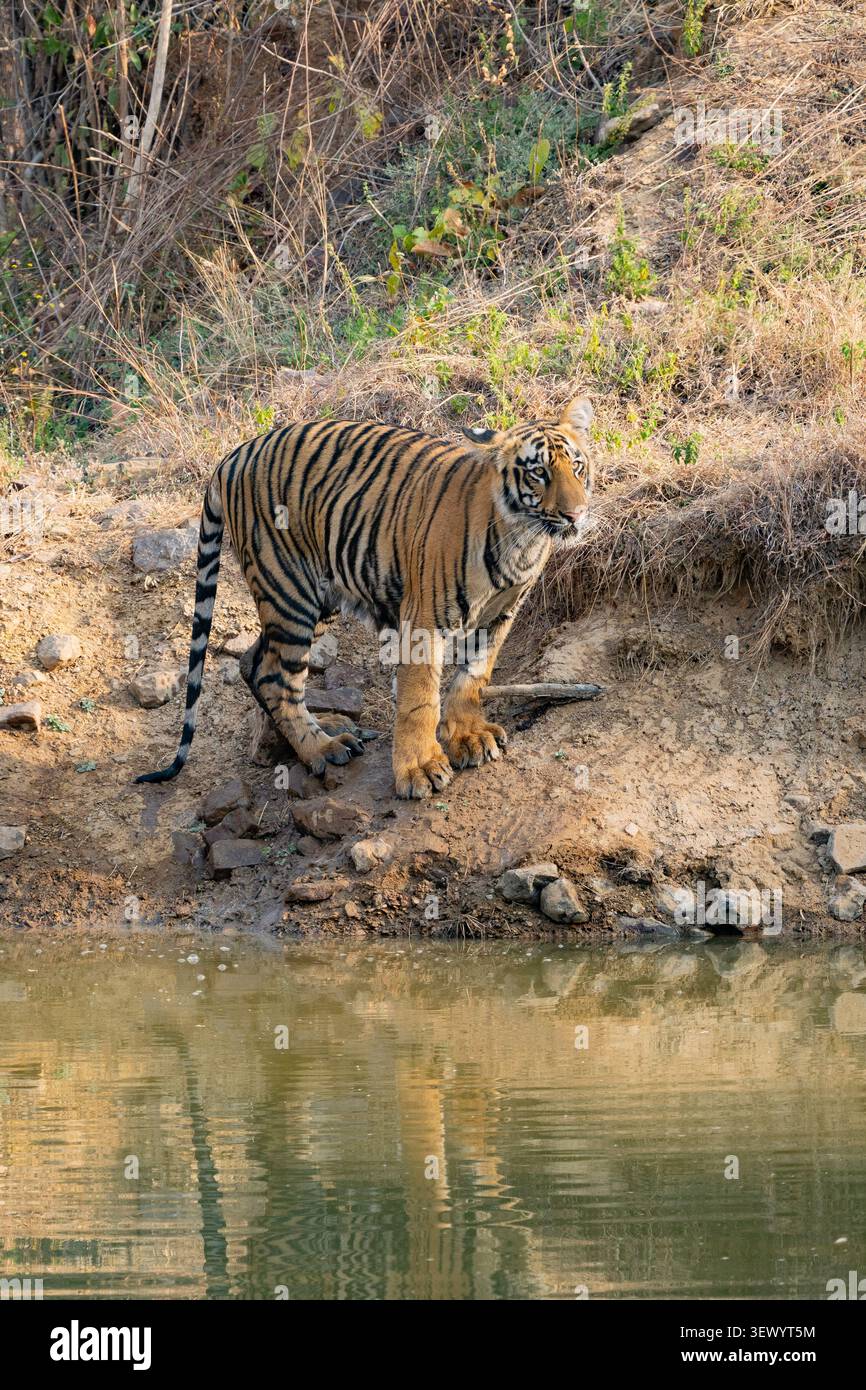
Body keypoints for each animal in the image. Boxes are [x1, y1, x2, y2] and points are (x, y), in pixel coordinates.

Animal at [136, 397, 595, 799]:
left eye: (577, 467)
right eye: (538, 474)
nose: (575, 515)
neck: (522, 540)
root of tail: (233, 455)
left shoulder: (500, 615)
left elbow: (474, 677)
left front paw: (468, 735)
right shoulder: (423, 620)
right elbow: (419, 699)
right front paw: (419, 769)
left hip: (315, 596)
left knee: (253, 661)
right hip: (289, 590)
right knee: (275, 675)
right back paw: (322, 748)